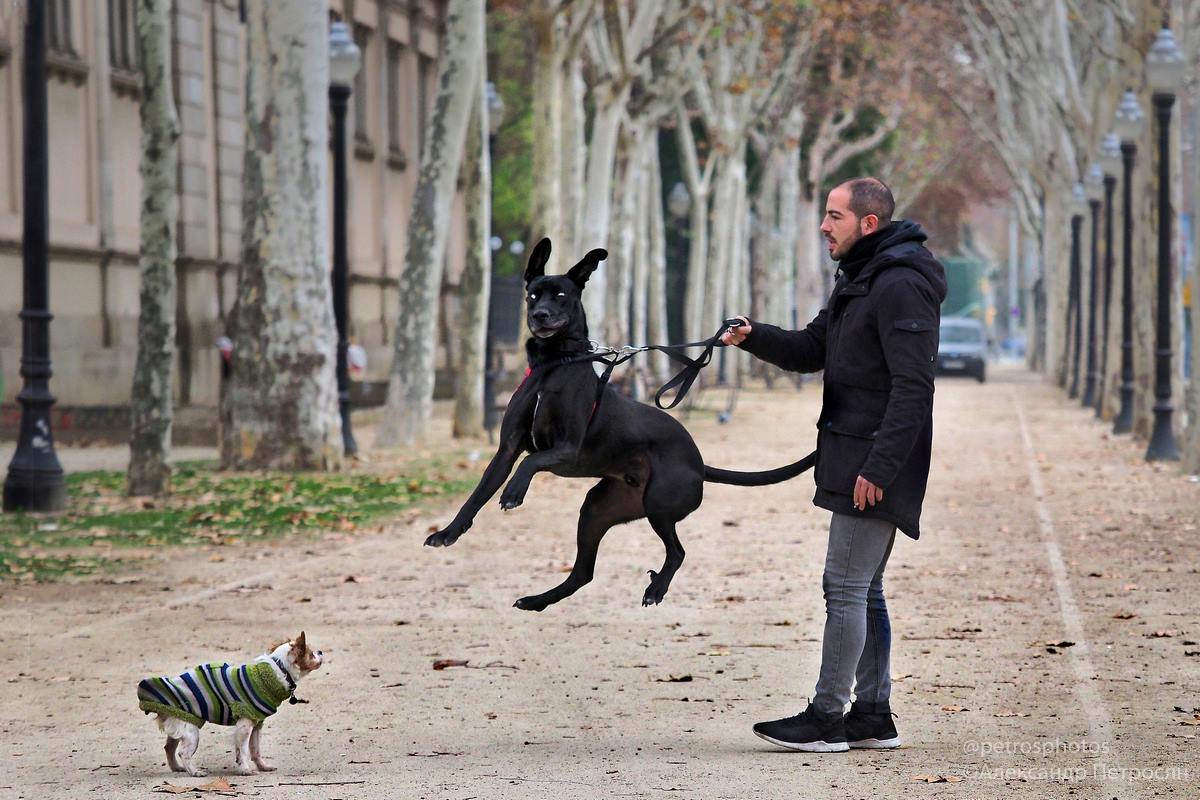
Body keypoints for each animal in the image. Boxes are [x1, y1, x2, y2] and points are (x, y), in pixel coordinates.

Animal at [424, 239, 816, 614]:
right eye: (533, 293)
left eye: (561, 295)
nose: (539, 315)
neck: (556, 363)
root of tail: (699, 463)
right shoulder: (506, 449)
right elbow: (477, 494)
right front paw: (448, 533)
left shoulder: (567, 449)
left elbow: (530, 461)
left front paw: (513, 493)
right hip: (598, 507)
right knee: (583, 573)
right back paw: (536, 601)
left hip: (658, 504)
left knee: (677, 552)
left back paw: (656, 589)